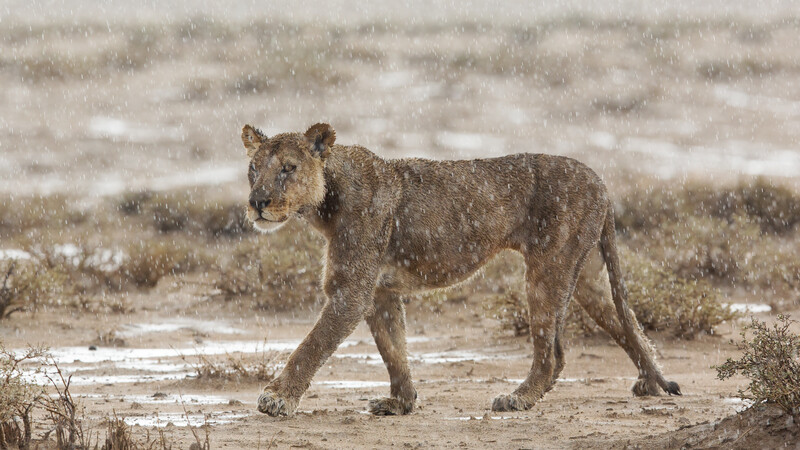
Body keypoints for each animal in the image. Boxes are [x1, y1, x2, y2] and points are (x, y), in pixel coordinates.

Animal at [241, 123, 681, 417]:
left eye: (288, 168)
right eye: (254, 169)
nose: (257, 202)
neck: (325, 201)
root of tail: (601, 180)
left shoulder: (351, 291)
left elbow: (311, 345)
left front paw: (276, 398)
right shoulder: (380, 291)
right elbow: (393, 349)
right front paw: (400, 402)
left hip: (548, 268)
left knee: (553, 353)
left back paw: (518, 398)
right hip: (585, 274)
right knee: (626, 322)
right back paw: (651, 381)